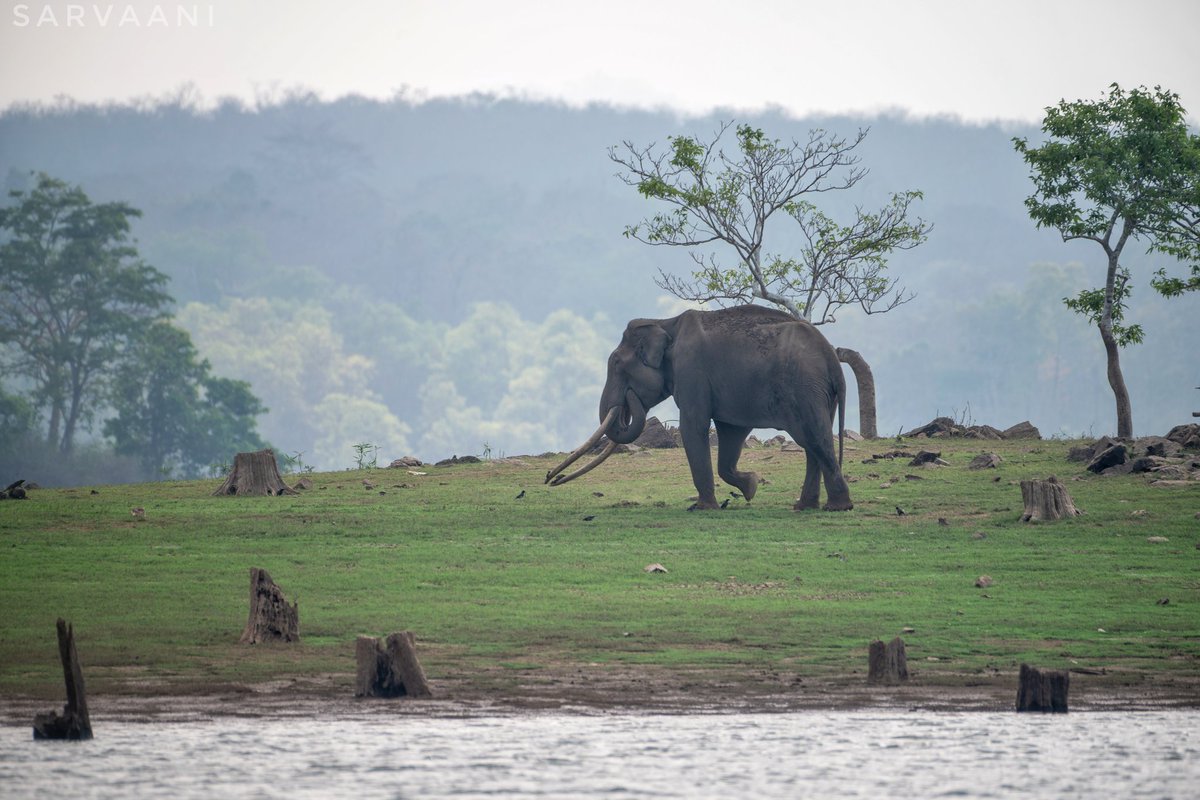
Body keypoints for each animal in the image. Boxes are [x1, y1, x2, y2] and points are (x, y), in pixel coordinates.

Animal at [546, 304, 853, 511]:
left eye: (616, 364)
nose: (551, 477)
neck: (664, 322)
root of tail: (832, 358)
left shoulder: (691, 371)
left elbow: (692, 427)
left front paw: (702, 507)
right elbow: (731, 433)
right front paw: (751, 487)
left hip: (805, 389)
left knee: (814, 438)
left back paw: (838, 507)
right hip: (819, 394)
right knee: (813, 444)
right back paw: (804, 506)